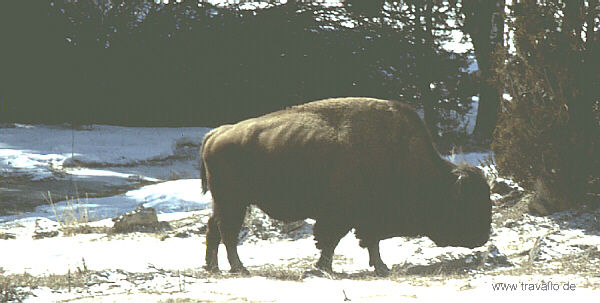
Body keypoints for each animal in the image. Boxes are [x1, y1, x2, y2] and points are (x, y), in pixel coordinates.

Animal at [199, 98, 490, 278]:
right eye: (467, 204)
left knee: (214, 228)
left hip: (225, 201)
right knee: (228, 232)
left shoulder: (364, 220)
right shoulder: (341, 217)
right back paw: (239, 269)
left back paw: (213, 268)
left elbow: (368, 243)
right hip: (233, 201)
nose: (483, 237)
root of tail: (216, 133)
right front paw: (326, 268)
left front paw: (380, 267)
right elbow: (333, 241)